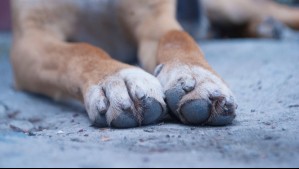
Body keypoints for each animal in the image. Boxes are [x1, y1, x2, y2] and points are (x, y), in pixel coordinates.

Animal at [10, 0, 299, 128]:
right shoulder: (32, 36)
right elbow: (79, 50)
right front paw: (115, 79)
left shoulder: (154, 16)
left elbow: (177, 38)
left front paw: (196, 77)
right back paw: (265, 28)